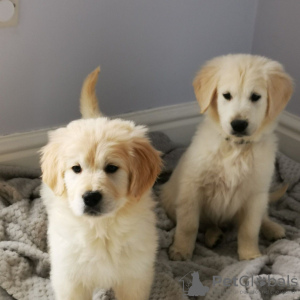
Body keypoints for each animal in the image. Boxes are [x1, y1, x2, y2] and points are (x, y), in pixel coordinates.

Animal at [41, 68, 162, 300]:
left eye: (112, 168)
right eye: (76, 168)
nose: (90, 197)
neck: (101, 229)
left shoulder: (134, 277)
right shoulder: (70, 279)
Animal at [161, 55, 294, 262]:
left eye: (255, 97)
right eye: (226, 95)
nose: (238, 124)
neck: (236, 148)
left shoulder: (255, 194)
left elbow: (249, 229)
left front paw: (250, 255)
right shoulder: (192, 189)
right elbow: (189, 225)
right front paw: (181, 250)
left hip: (262, 198)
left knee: (263, 216)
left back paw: (273, 229)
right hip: (168, 198)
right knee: (208, 224)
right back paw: (213, 236)